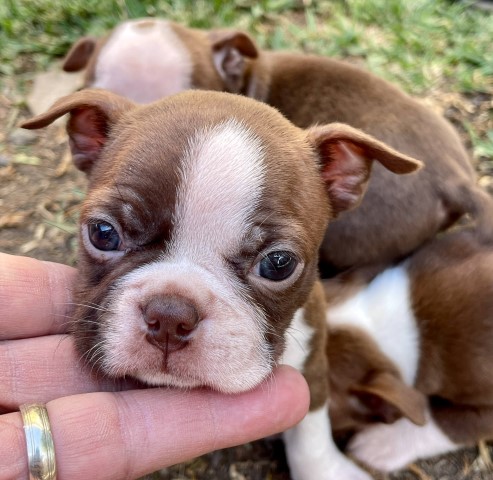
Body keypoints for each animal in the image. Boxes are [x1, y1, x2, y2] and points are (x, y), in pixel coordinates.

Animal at [21, 89, 420, 480]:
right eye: (103, 233)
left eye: (279, 264)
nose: (170, 315)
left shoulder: (313, 359)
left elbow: (311, 430)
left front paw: (325, 470)